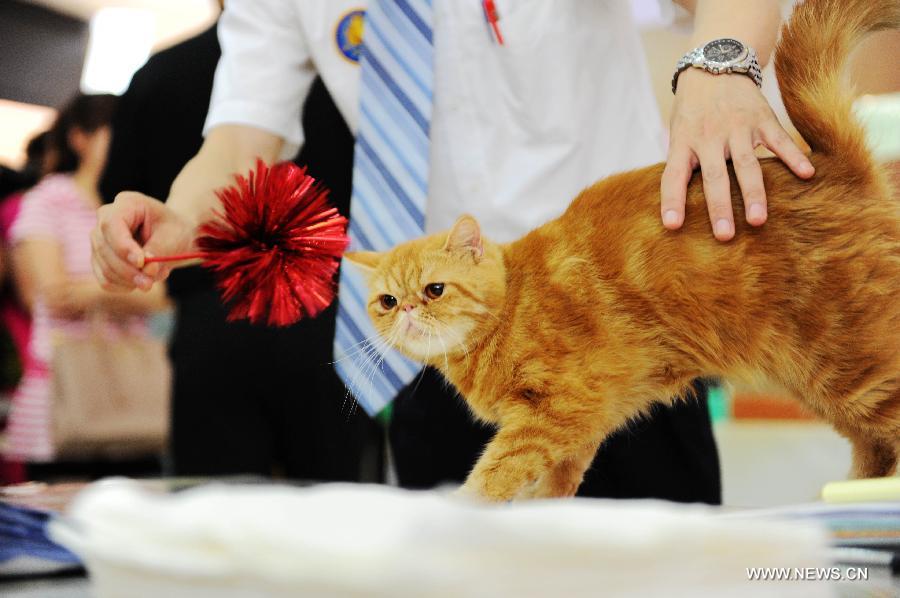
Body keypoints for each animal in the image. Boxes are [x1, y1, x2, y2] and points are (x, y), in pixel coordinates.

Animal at [346, 0, 900, 506]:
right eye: (387, 302)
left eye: (434, 290)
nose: (408, 310)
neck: (510, 312)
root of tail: (835, 166)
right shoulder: (580, 422)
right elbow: (557, 480)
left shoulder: (556, 411)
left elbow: (495, 471)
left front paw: (461, 511)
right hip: (822, 383)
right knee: (871, 447)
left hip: (853, 369)